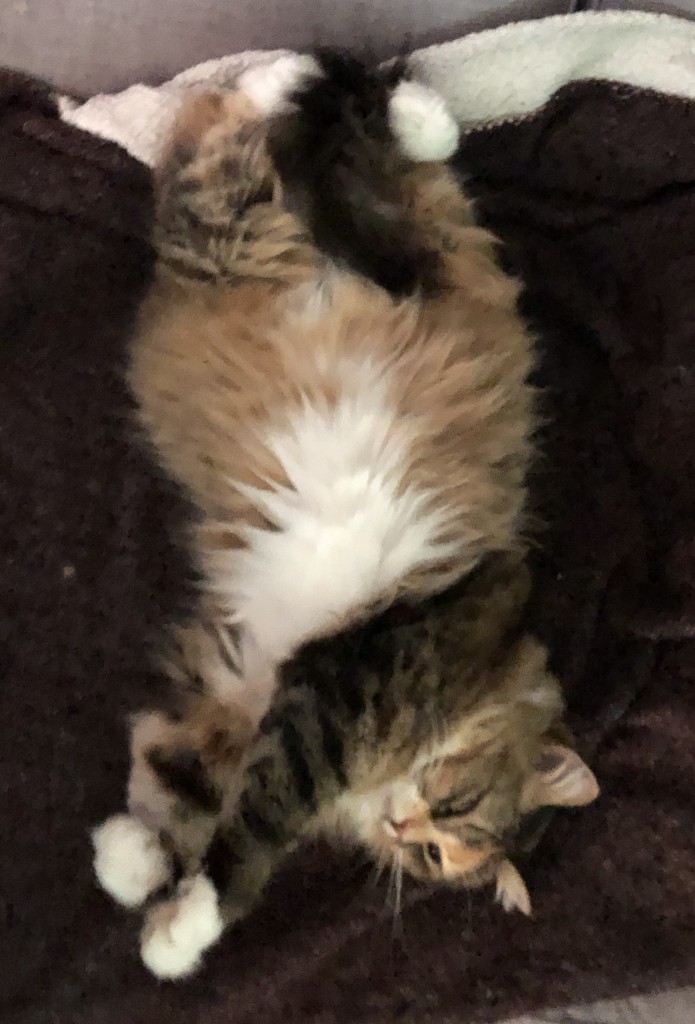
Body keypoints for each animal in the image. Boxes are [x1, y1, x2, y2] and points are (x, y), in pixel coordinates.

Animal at [91, 54, 597, 974]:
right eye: (450, 811)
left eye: (430, 855)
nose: (405, 825)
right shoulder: (338, 695)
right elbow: (248, 834)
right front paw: (184, 918)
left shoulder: (250, 699)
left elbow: (183, 789)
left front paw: (142, 876)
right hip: (248, 227)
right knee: (254, 125)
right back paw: (312, 83)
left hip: (232, 237)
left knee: (250, 141)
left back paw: (340, 94)